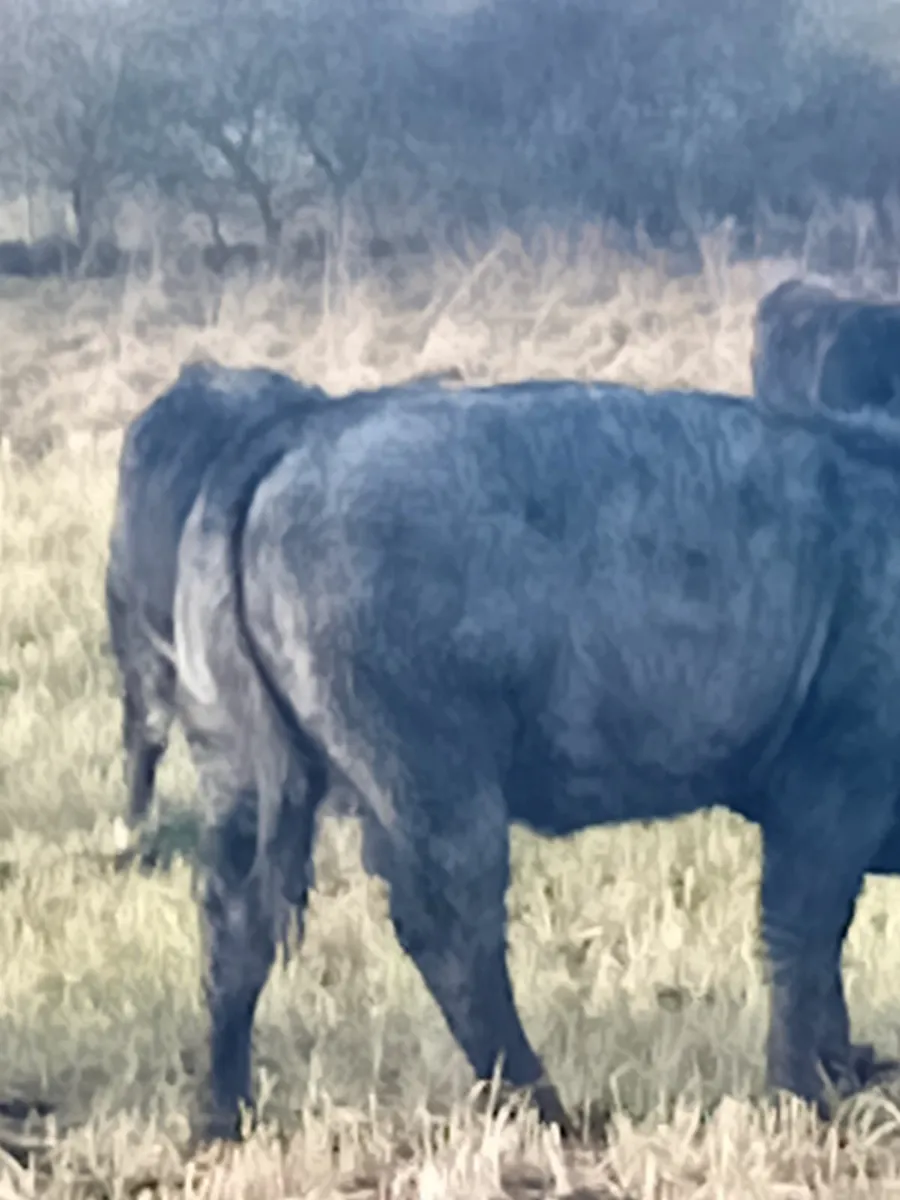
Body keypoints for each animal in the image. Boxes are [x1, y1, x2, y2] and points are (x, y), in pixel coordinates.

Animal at [169, 374, 900, 1142]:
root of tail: (304, 427)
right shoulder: (830, 792)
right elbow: (802, 941)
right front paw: (806, 1093)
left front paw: (845, 1068)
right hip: (439, 787)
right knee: (452, 934)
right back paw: (547, 1108)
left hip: (239, 773)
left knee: (236, 920)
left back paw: (222, 1115)